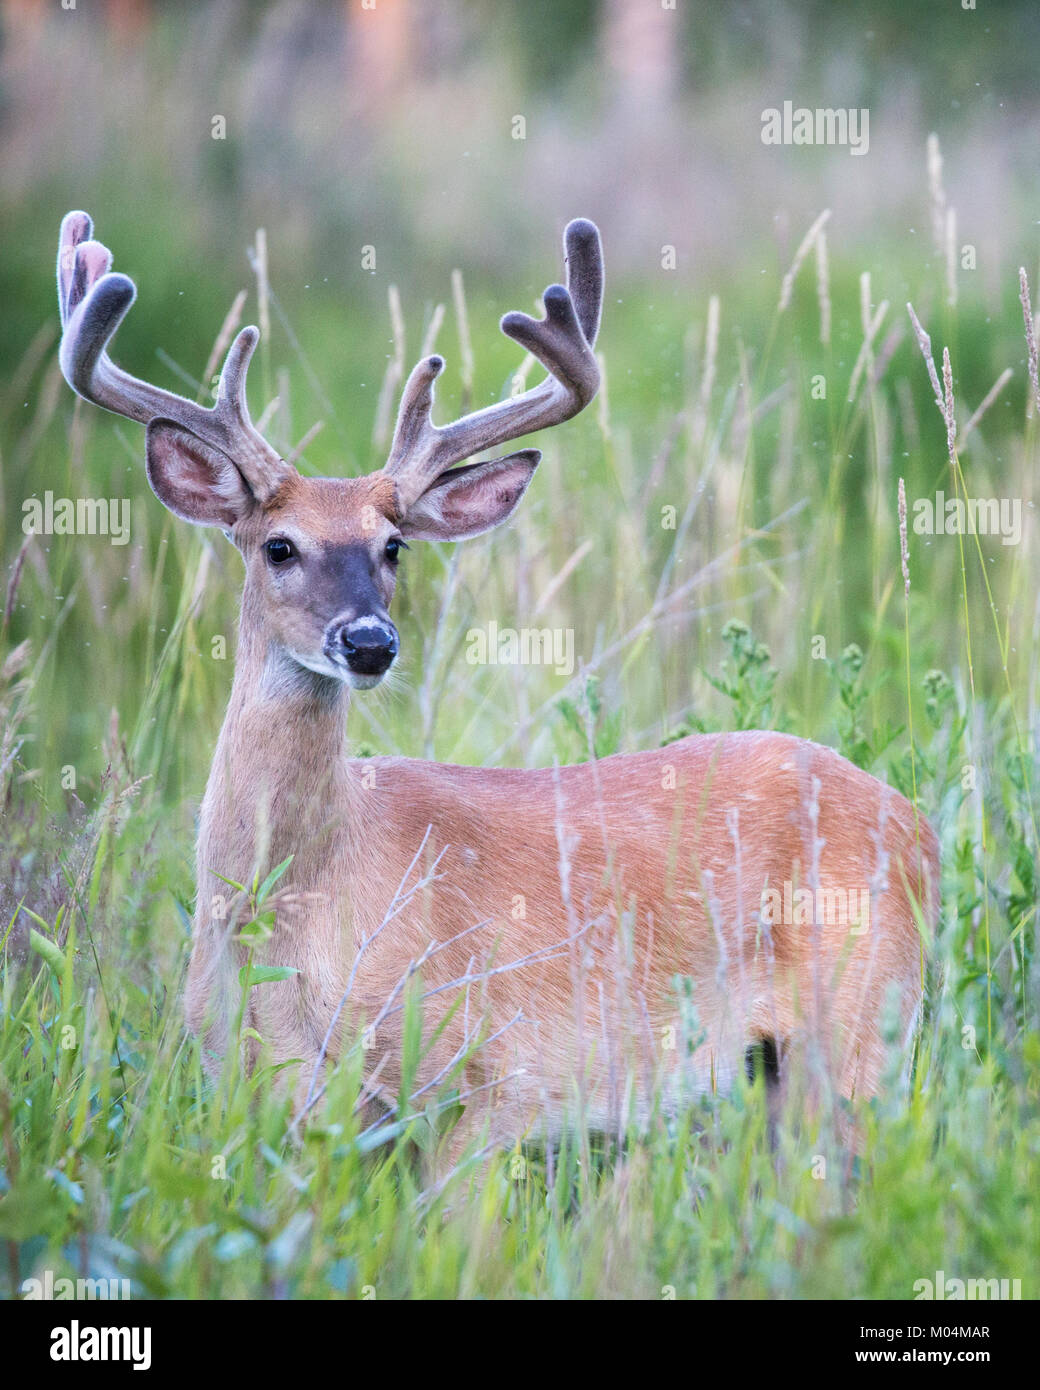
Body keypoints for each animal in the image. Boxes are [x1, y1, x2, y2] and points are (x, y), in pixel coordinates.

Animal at [52, 211, 939, 1156]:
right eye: (278, 546)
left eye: (393, 547)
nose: (369, 642)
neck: (295, 911)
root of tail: (919, 828)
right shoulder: (253, 1092)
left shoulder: (484, 1081)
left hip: (860, 1031)